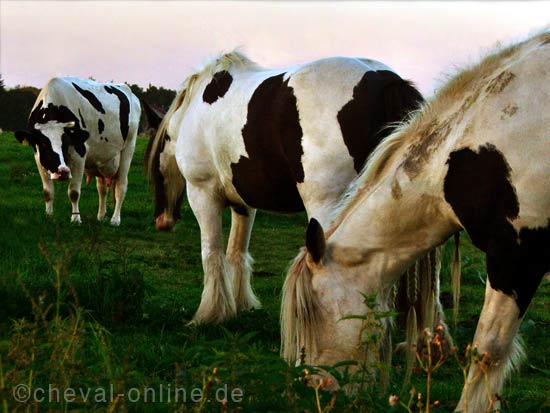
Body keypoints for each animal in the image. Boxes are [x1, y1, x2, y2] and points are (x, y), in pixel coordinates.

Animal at [15, 77, 141, 225]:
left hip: (128, 148)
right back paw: (101, 216)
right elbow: (48, 191)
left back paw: (115, 220)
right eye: (44, 144)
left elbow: (74, 192)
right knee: (102, 188)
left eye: (66, 143)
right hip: (101, 158)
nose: (63, 172)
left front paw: (75, 219)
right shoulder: (38, 156)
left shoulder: (79, 153)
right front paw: (48, 216)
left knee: (121, 186)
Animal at [149, 50, 450, 328]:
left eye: (154, 172)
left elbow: (212, 254)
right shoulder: (244, 204)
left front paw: (209, 314)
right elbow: (237, 252)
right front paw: (242, 305)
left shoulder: (203, 194)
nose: (162, 221)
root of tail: (385, 80)